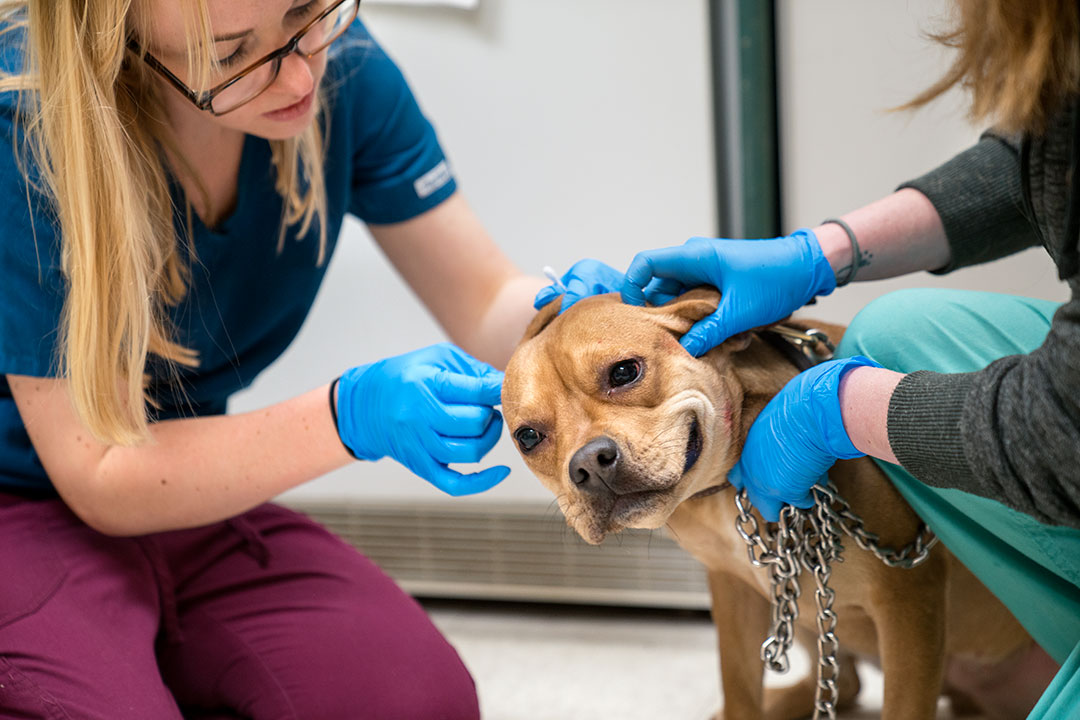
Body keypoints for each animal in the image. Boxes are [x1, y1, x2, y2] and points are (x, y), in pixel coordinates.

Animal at [503, 289, 1045, 716]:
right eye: (527, 437)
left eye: (624, 371)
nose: (589, 465)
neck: (726, 487)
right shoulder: (733, 591)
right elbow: (740, 690)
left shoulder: (910, 597)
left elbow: (903, 707)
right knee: (846, 683)